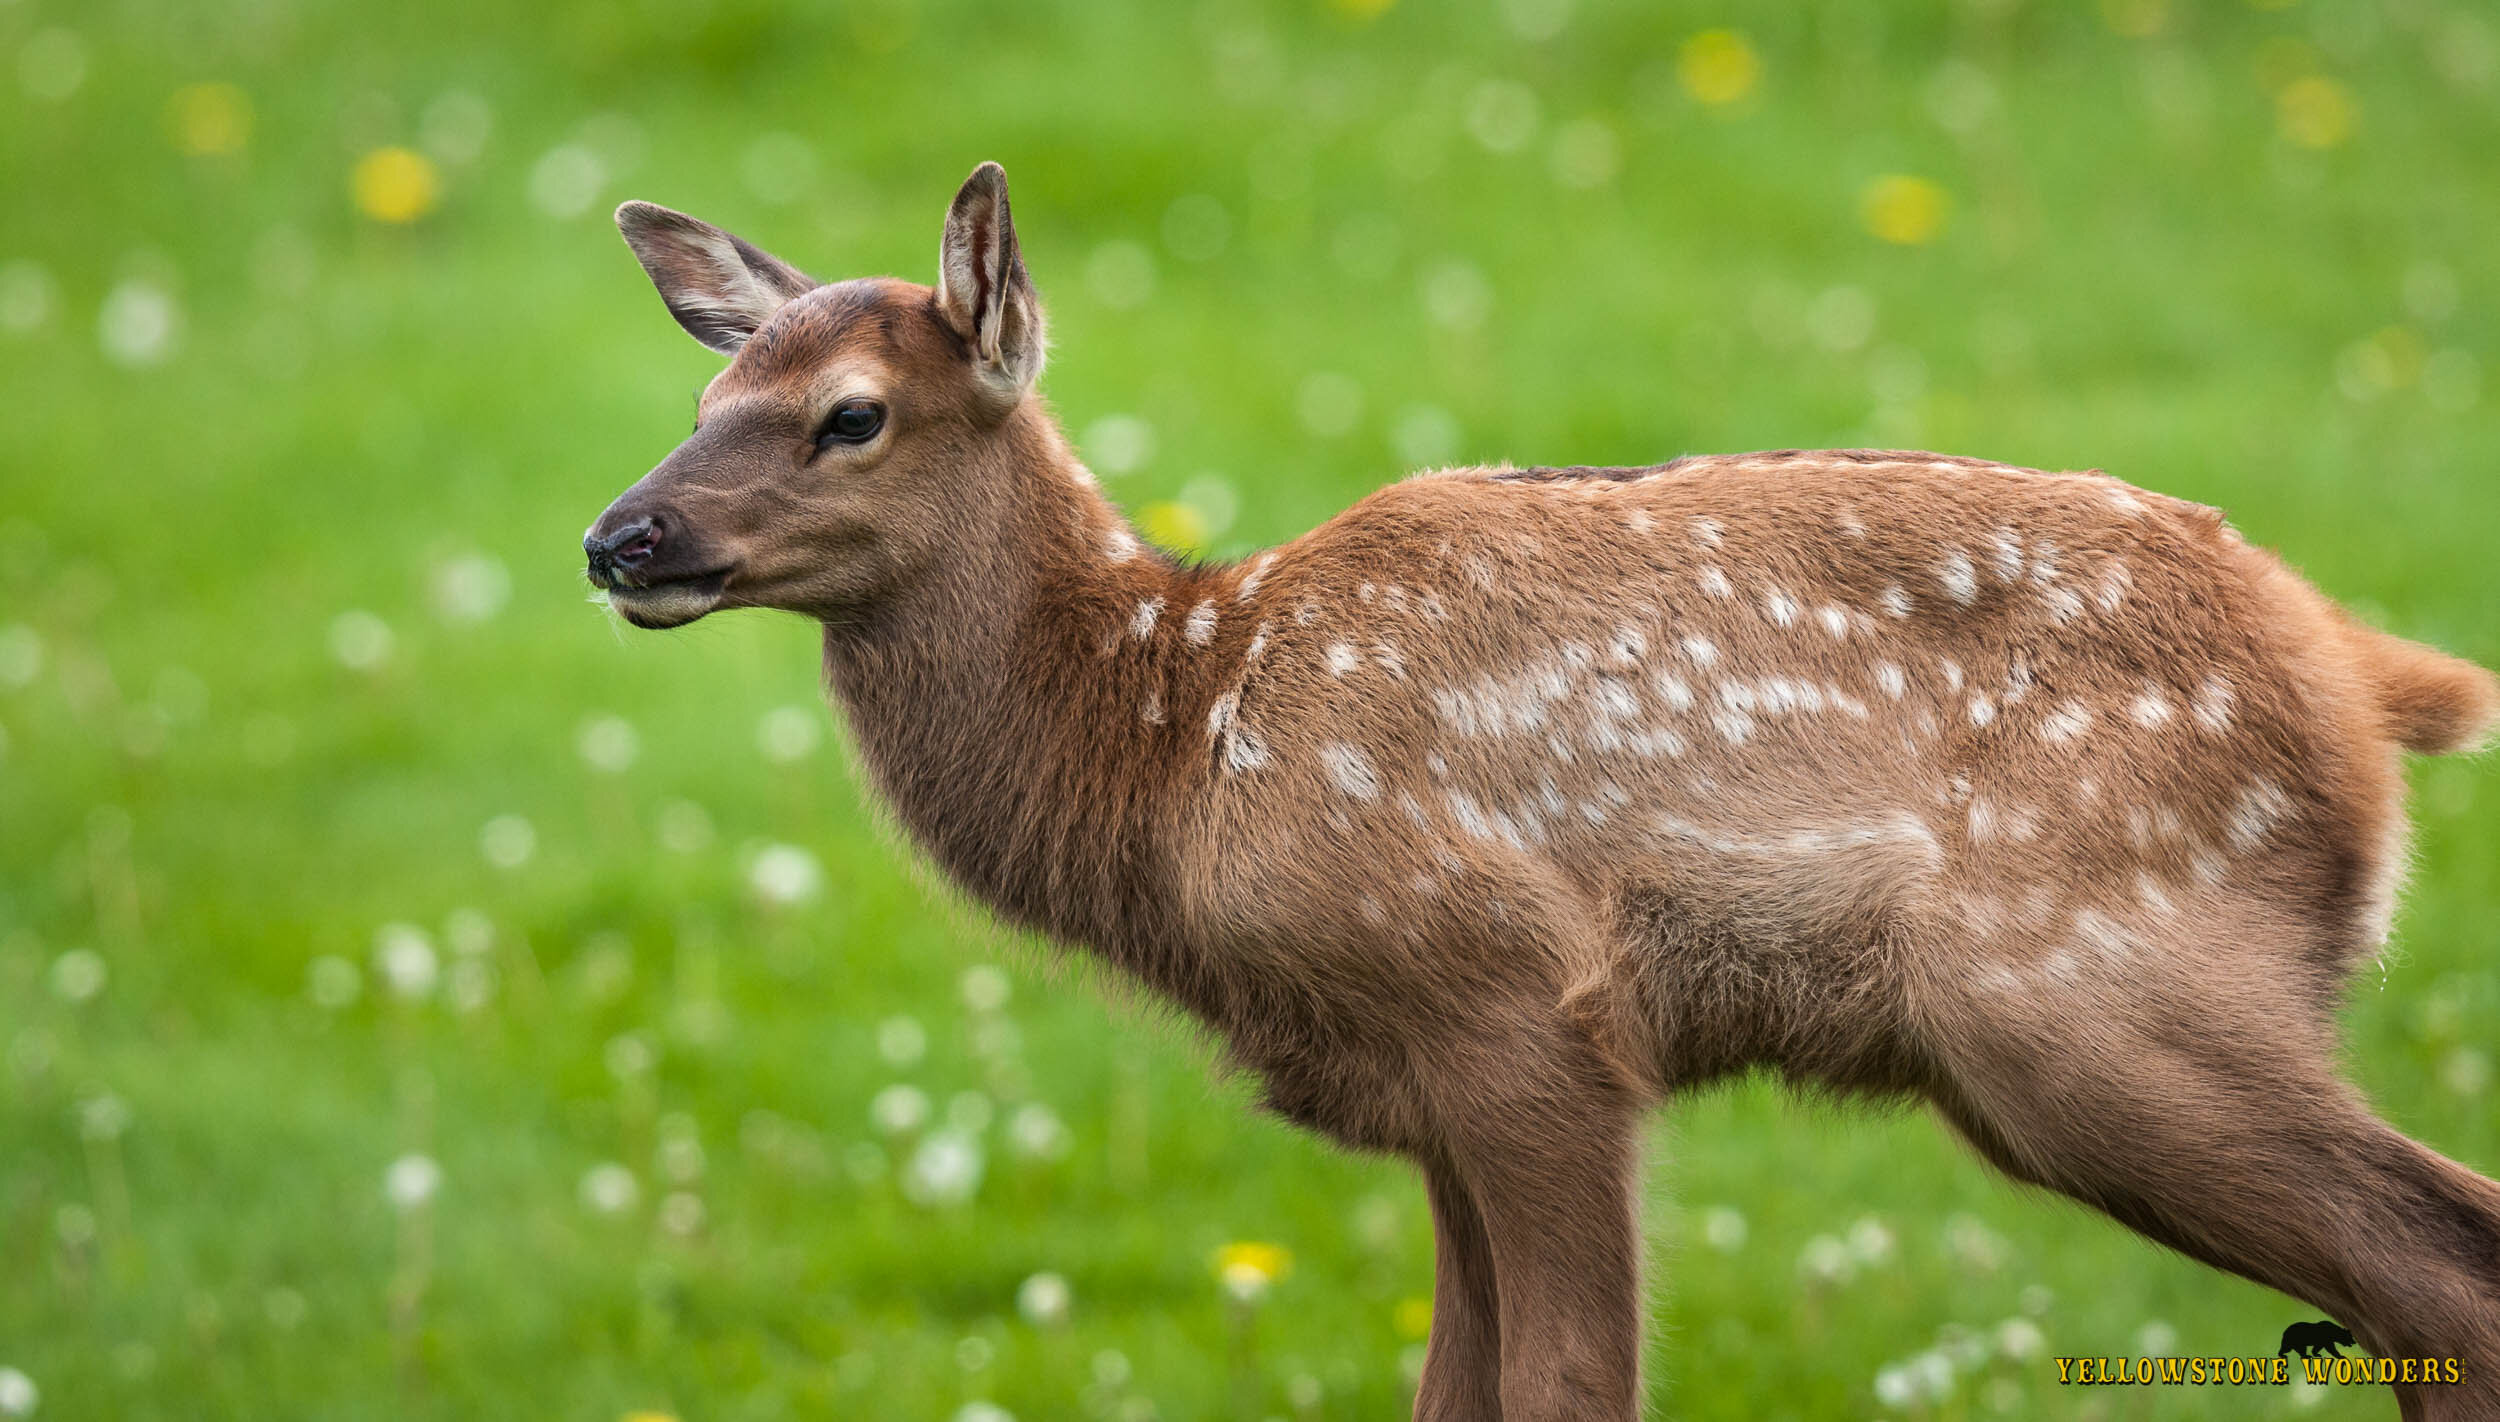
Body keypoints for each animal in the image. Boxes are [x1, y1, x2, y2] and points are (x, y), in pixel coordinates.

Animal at [580, 161, 2500, 1409]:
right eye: (707, 384)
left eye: (848, 413)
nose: (622, 537)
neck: (1177, 740)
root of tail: (2364, 673)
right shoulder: (1422, 1083)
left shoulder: (1520, 1012)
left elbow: (1572, 1384)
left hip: (2087, 988)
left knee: (2436, 1265)